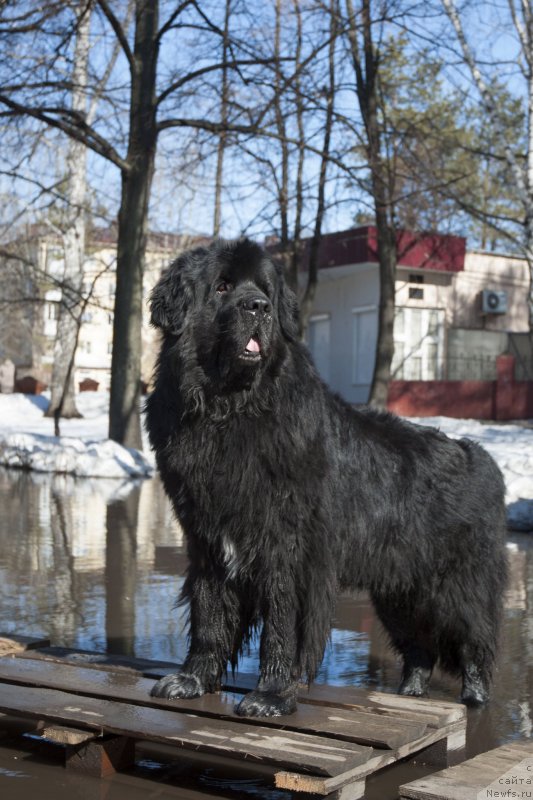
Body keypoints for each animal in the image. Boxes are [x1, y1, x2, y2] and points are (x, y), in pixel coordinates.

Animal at [144, 238, 508, 720]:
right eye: (222, 286)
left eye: (265, 292)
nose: (258, 307)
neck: (232, 411)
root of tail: (483, 457)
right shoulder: (208, 540)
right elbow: (209, 613)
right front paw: (192, 679)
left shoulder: (292, 550)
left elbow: (282, 626)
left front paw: (271, 695)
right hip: (398, 592)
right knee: (419, 648)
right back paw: (408, 695)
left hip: (457, 587)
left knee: (474, 642)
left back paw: (475, 699)